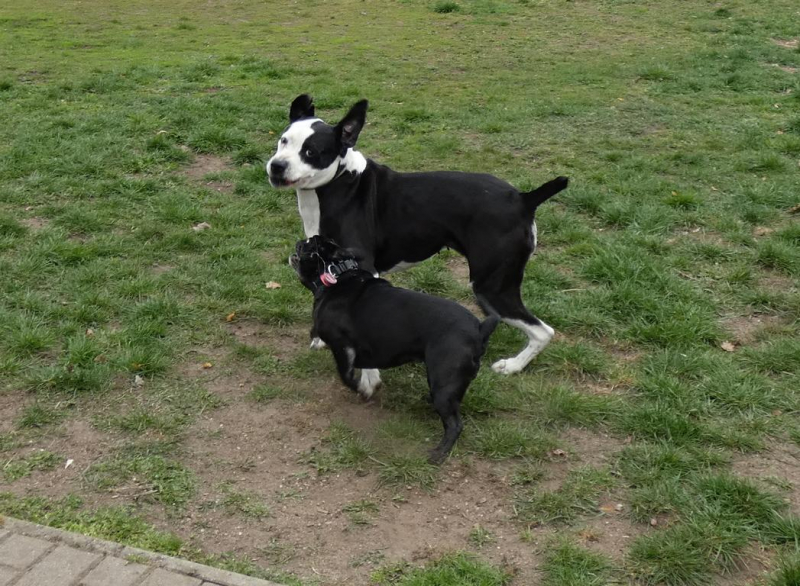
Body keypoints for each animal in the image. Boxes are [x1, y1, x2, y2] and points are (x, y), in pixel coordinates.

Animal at [267, 94, 568, 393]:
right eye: (283, 140)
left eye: (311, 151)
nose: (276, 166)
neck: (340, 182)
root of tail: (524, 199)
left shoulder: (363, 267)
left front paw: (369, 377)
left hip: (491, 287)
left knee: (543, 331)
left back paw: (513, 365)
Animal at [290, 235, 498, 464]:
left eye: (309, 247)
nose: (298, 243)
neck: (339, 274)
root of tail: (479, 329)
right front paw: (370, 382)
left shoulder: (341, 346)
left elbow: (346, 375)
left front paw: (363, 389)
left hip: (444, 382)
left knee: (455, 424)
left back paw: (439, 453)